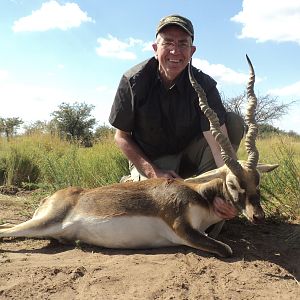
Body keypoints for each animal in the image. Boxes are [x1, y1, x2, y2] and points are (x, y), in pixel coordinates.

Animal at [0, 56, 278, 258]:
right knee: (6, 230)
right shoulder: (182, 228)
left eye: (258, 181)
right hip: (45, 221)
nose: (258, 216)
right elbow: (226, 249)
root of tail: (52, 196)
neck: (201, 195)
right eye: (232, 183)